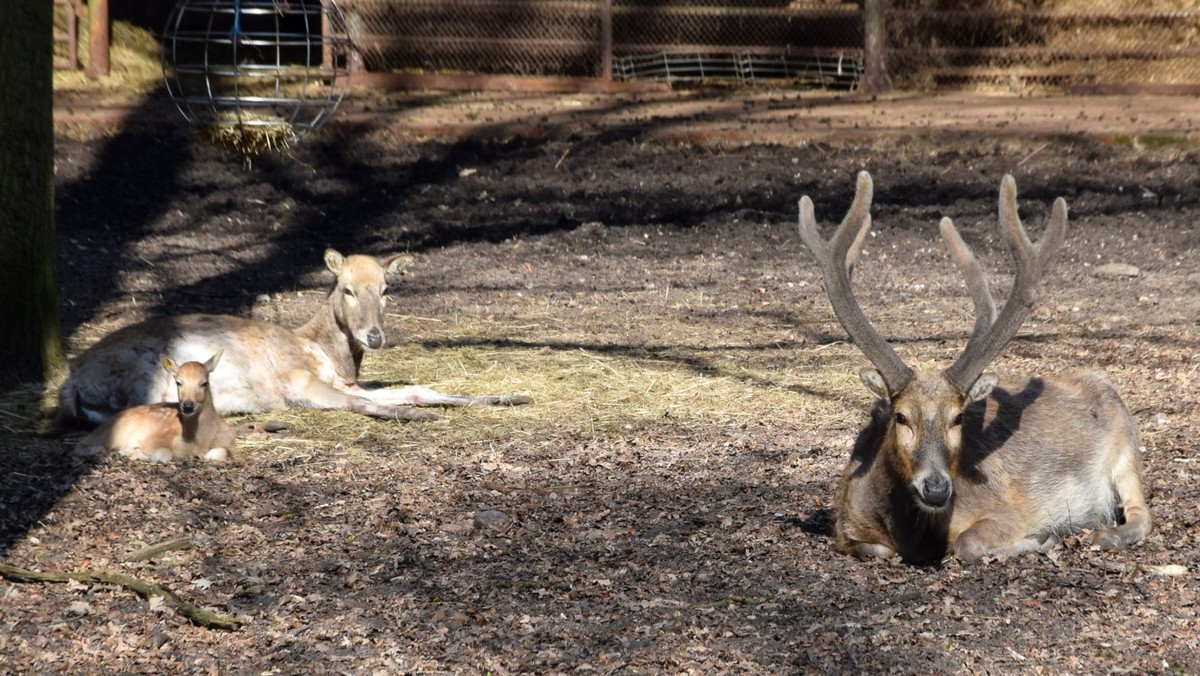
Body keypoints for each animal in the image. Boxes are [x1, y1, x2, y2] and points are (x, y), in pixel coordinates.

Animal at [56, 248, 532, 427]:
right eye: (347, 288)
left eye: (386, 289)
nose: (375, 336)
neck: (325, 352)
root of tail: (70, 383)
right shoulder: (300, 383)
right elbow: (364, 404)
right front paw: (417, 418)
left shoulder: (348, 381)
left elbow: (419, 389)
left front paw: (513, 397)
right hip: (152, 380)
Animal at [74, 353, 236, 463]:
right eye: (178, 382)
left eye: (204, 383)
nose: (188, 406)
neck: (199, 441)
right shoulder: (153, 438)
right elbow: (164, 454)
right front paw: (136, 453)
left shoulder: (230, 443)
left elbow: (220, 453)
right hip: (115, 431)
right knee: (83, 444)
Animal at [801, 171, 1147, 564]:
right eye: (900, 417)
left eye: (958, 417)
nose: (937, 489)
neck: (916, 536)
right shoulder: (844, 522)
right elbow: (875, 549)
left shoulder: (1006, 509)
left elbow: (967, 543)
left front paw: (1041, 537)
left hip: (1126, 447)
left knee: (1142, 513)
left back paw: (1107, 535)